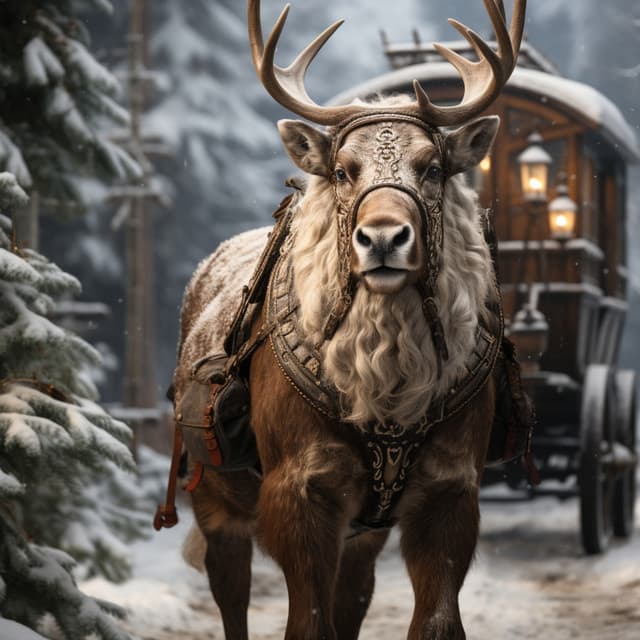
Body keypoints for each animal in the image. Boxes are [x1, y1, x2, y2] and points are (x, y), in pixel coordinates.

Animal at [170, 1, 527, 638]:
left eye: (433, 167)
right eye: (342, 170)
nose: (383, 237)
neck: (387, 396)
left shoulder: (453, 488)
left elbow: (434, 621)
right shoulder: (297, 486)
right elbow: (308, 622)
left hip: (364, 532)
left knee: (353, 597)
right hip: (212, 495)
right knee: (231, 596)